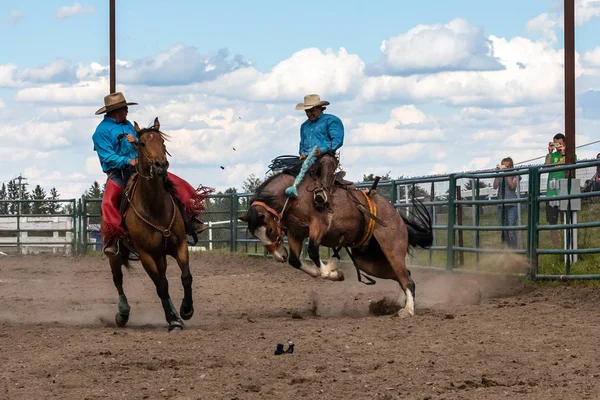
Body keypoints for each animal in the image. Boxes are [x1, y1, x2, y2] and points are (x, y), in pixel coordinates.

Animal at [106, 118, 192, 332]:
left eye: (162, 142)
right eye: (142, 143)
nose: (161, 165)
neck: (155, 208)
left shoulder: (180, 245)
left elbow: (185, 277)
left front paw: (185, 311)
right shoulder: (145, 255)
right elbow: (161, 287)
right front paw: (172, 320)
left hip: (160, 255)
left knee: (163, 278)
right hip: (116, 255)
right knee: (118, 280)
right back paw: (123, 313)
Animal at [239, 164, 432, 318]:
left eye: (269, 230)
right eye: (255, 235)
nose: (279, 257)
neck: (295, 194)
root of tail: (397, 216)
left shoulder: (320, 225)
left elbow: (313, 251)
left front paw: (333, 272)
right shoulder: (296, 233)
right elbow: (295, 260)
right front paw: (324, 272)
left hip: (392, 250)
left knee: (407, 279)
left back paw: (408, 310)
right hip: (368, 263)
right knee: (405, 275)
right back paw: (399, 302)